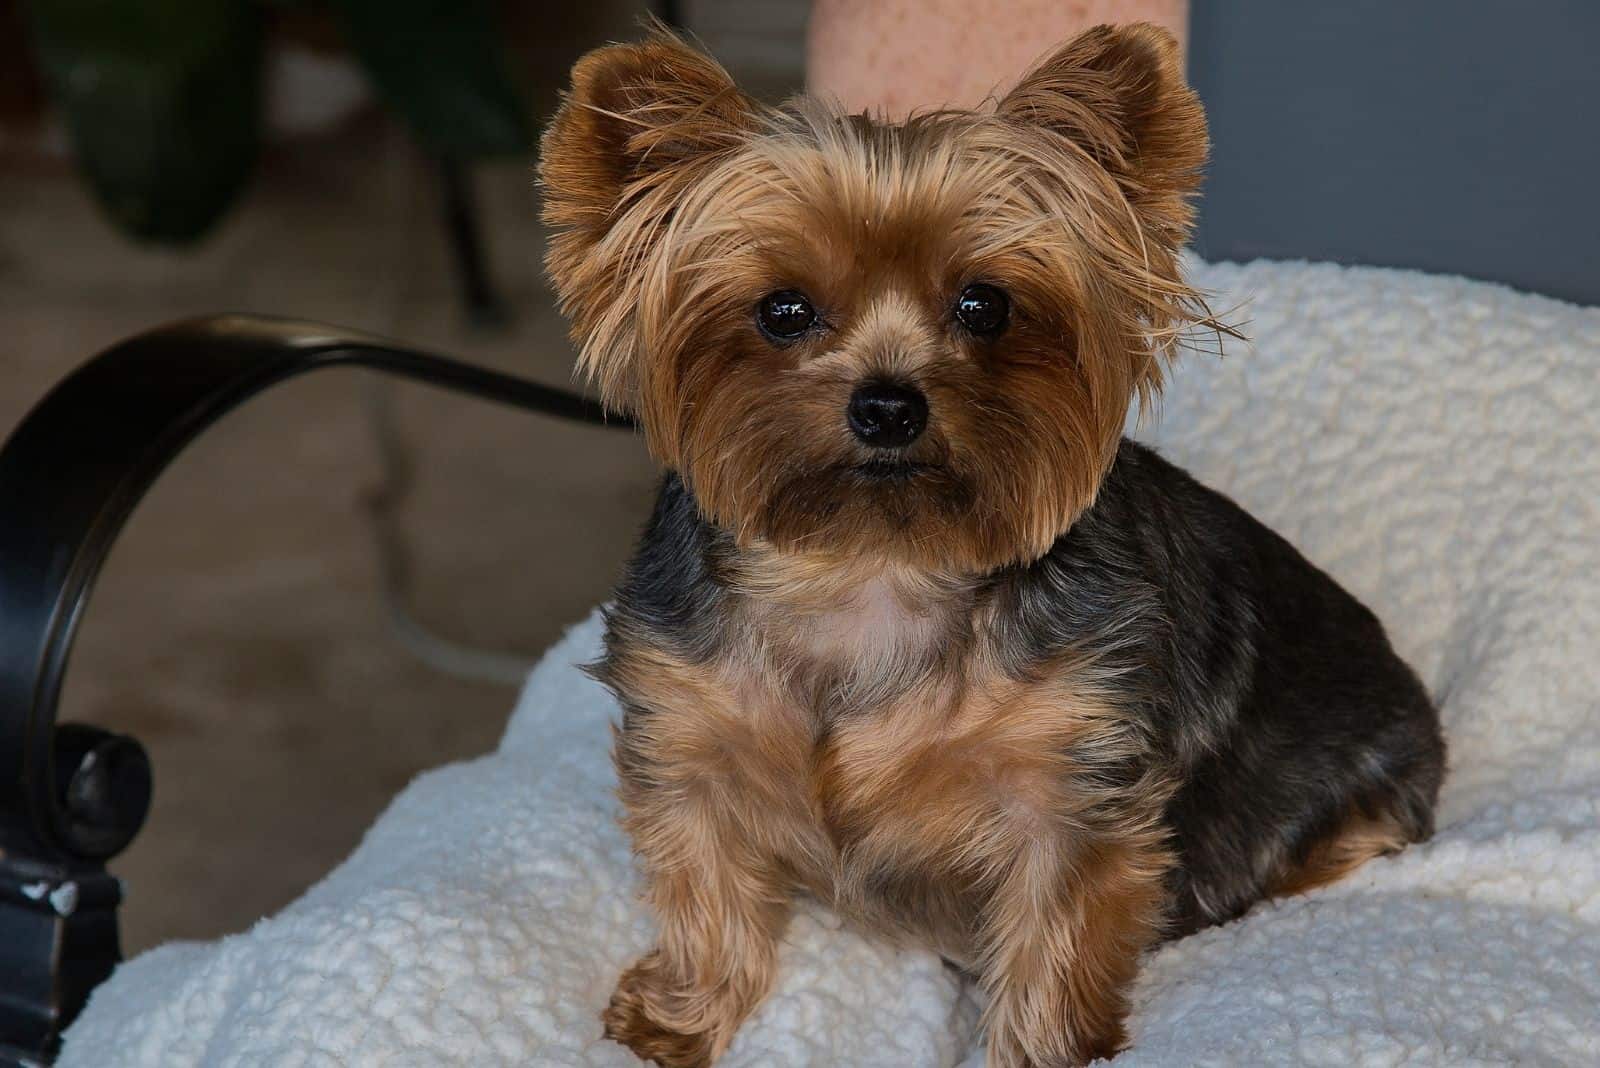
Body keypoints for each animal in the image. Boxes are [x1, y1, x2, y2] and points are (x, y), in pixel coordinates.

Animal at [540, 24, 1452, 1068]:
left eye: (985, 306)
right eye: (783, 310)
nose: (888, 405)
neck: (872, 566)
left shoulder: (1072, 784)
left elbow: (1058, 942)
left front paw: (1042, 1048)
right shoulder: (688, 733)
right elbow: (705, 885)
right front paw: (678, 1014)